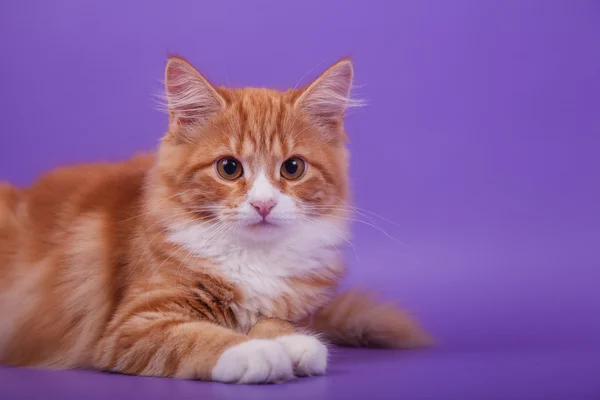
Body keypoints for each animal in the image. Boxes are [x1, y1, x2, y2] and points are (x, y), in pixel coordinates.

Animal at [1, 56, 432, 384]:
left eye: (292, 168)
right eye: (229, 168)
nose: (263, 204)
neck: (254, 258)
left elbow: (272, 320)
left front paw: (293, 341)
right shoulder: (132, 324)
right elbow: (199, 338)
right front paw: (255, 352)